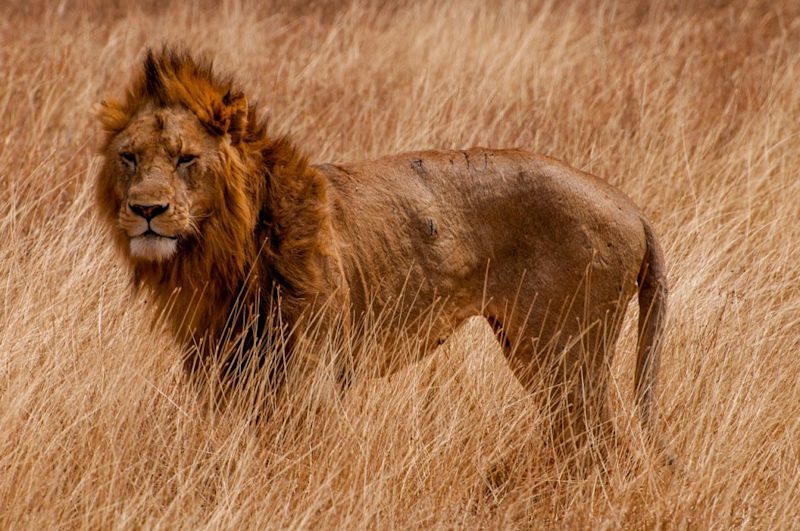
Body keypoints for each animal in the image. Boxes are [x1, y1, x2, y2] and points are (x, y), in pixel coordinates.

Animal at [95, 48, 668, 440]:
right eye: (129, 157)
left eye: (186, 159)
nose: (147, 210)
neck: (219, 254)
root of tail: (633, 208)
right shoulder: (219, 369)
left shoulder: (310, 375)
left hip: (564, 357)